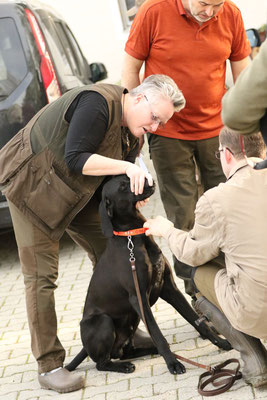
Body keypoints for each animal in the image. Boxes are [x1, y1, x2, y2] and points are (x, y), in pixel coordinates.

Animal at [66, 175, 230, 376]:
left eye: (128, 176)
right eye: (123, 186)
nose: (149, 180)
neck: (133, 237)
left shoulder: (169, 288)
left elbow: (197, 322)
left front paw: (221, 343)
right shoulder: (138, 298)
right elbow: (158, 334)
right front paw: (173, 363)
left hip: (132, 319)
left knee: (125, 351)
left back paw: (149, 350)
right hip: (103, 321)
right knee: (102, 363)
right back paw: (124, 365)